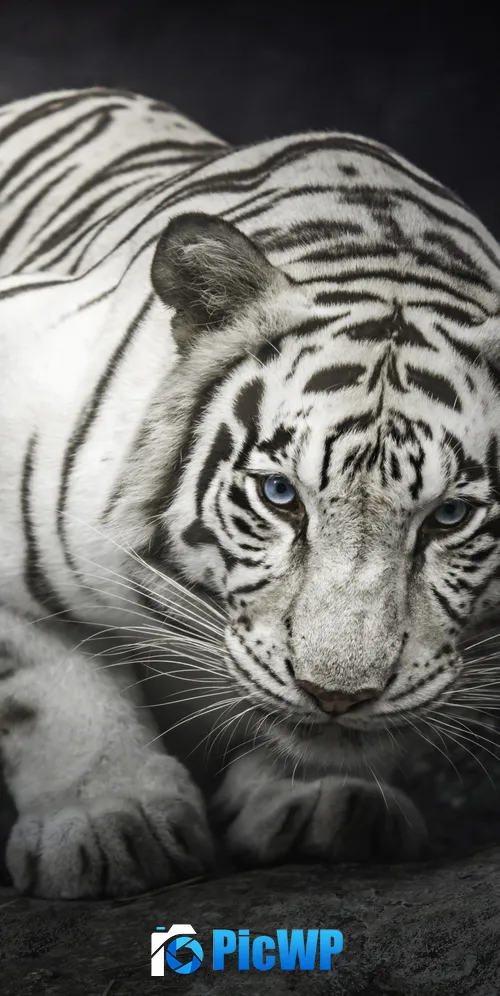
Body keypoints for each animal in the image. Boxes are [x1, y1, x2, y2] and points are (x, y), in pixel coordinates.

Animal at [0, 86, 498, 899]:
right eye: (279, 495)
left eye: (449, 516)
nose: (337, 696)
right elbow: (51, 681)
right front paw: (109, 820)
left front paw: (327, 799)